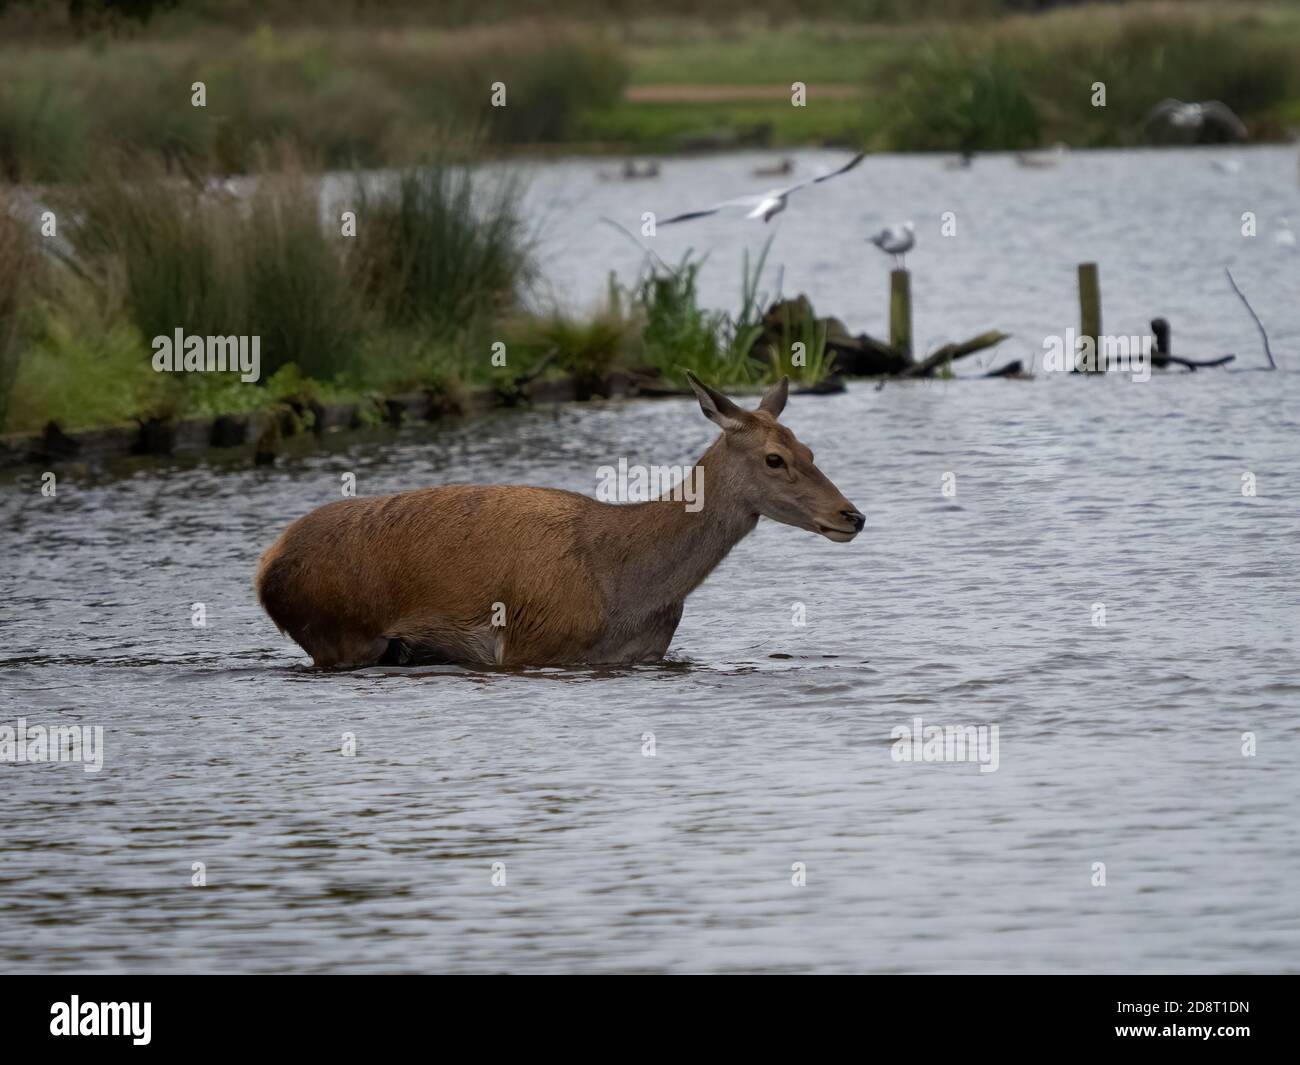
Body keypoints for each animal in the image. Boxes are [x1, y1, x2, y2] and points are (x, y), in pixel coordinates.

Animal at [256, 372, 864, 669]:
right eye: (774, 459)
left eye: (808, 448)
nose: (851, 515)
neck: (626, 590)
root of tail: (265, 568)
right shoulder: (532, 645)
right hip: (338, 634)